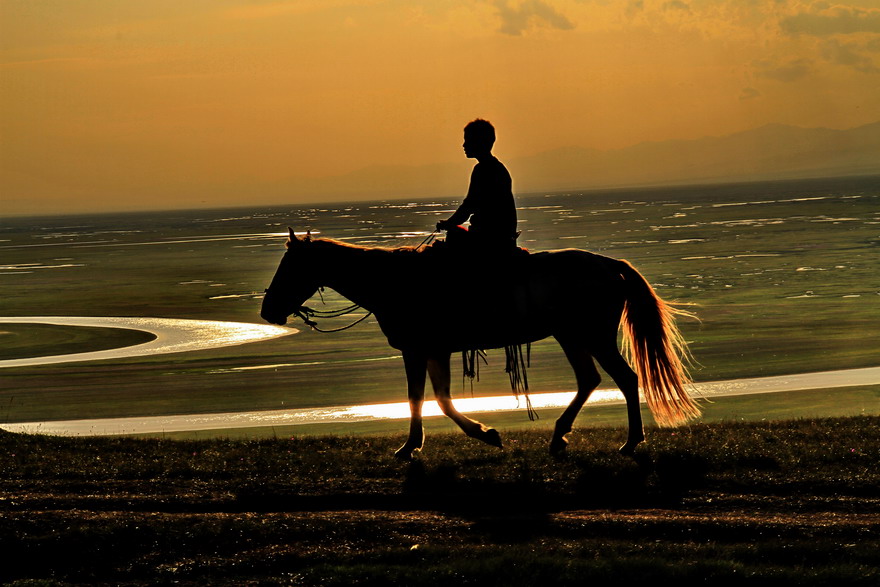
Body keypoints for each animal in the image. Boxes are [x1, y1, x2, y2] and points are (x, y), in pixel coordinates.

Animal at [262, 227, 700, 462]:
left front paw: (461, 437)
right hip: (571, 336)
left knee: (625, 379)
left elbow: (426, 398)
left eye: (289, 266)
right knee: (590, 380)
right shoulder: (433, 351)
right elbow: (435, 397)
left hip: (592, 335)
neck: (397, 282)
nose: (268, 311)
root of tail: (609, 265)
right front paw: (448, 438)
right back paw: (560, 436)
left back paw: (629, 442)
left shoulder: (420, 349)